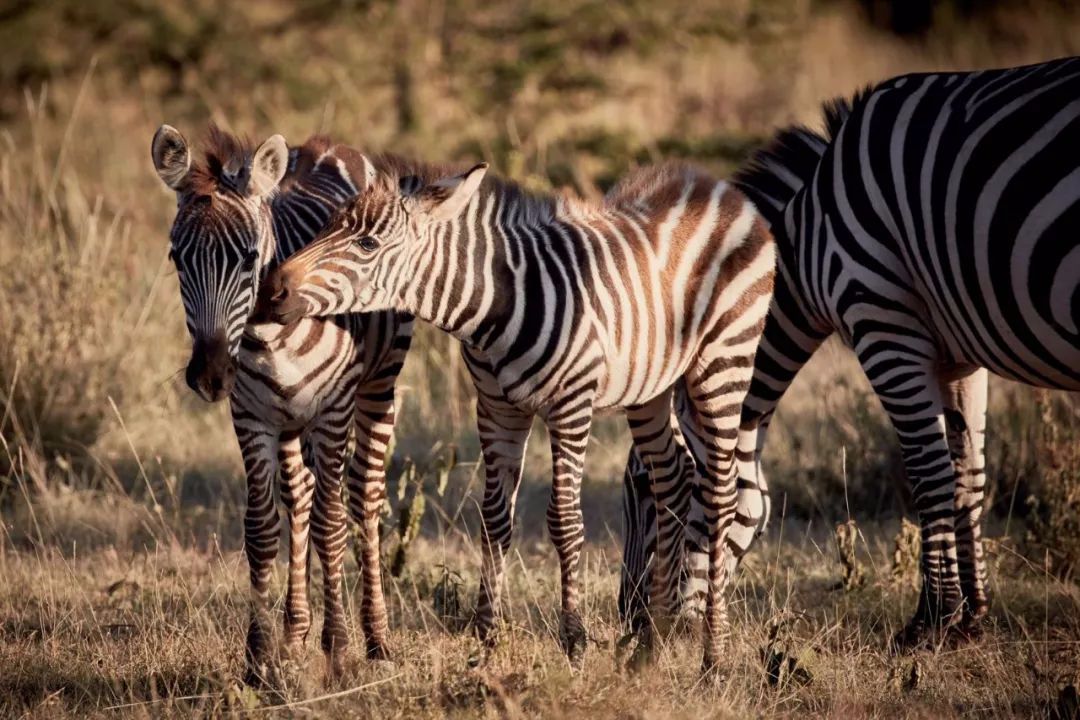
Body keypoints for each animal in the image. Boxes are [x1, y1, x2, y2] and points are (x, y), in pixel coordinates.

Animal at [147, 124, 408, 682]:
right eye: (177, 258)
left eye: (249, 257)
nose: (210, 376)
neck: (268, 336)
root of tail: (329, 146)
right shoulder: (250, 416)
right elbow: (262, 528)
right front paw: (259, 657)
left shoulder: (332, 413)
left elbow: (332, 525)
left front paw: (338, 650)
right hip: (289, 421)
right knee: (300, 496)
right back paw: (294, 634)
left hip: (379, 384)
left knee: (363, 496)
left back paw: (376, 640)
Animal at [252, 155, 777, 673]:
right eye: (327, 228)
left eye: (367, 244)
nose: (271, 288)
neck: (497, 306)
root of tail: (720, 187)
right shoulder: (496, 409)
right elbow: (493, 519)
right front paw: (485, 642)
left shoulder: (570, 407)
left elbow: (564, 520)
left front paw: (574, 642)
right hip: (651, 386)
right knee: (671, 479)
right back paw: (652, 642)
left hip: (723, 365)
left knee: (720, 496)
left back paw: (712, 656)